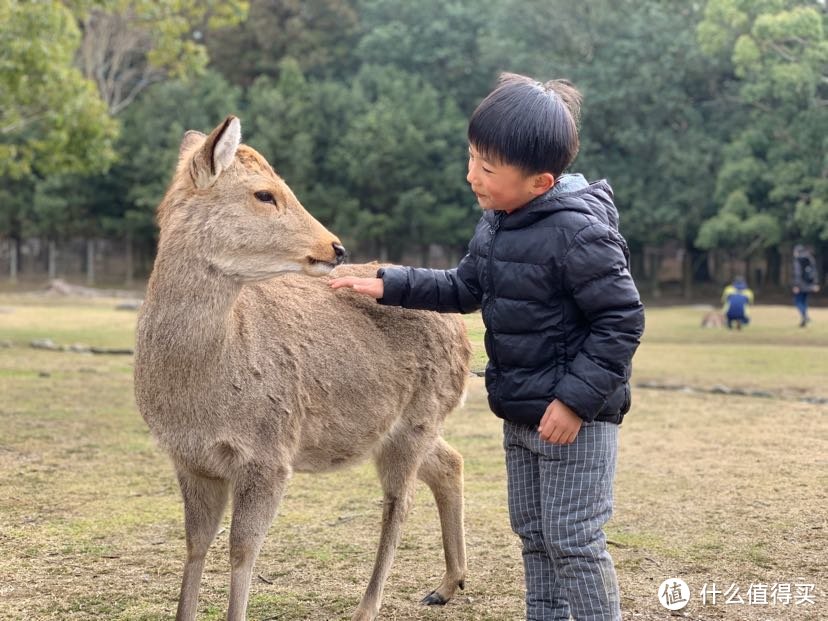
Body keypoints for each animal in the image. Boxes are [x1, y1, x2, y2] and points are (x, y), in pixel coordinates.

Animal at [135, 116, 472, 620]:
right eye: (264, 193)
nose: (336, 246)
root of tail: (467, 337)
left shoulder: (269, 453)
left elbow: (242, 549)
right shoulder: (189, 459)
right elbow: (195, 545)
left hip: (420, 415)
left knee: (400, 500)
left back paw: (368, 607)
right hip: (405, 427)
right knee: (449, 462)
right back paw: (448, 585)